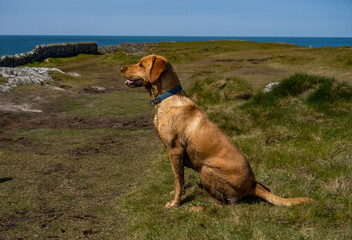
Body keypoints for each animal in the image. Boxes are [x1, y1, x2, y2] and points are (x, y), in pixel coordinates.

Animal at [121, 54, 314, 208]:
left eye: (141, 64)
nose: (121, 68)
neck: (167, 97)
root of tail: (253, 184)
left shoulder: (175, 151)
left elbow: (177, 180)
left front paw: (175, 203)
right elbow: (180, 180)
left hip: (206, 170)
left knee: (222, 205)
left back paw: (199, 208)